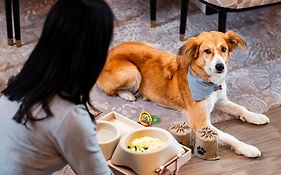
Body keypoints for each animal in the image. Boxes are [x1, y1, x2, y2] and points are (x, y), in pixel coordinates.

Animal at [97, 30, 270, 158]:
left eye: (224, 49)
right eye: (207, 51)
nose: (220, 66)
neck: (207, 80)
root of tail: (110, 51)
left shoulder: (221, 100)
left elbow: (241, 108)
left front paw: (256, 116)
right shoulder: (200, 123)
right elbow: (228, 135)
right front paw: (246, 148)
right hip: (132, 72)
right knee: (111, 91)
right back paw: (127, 95)